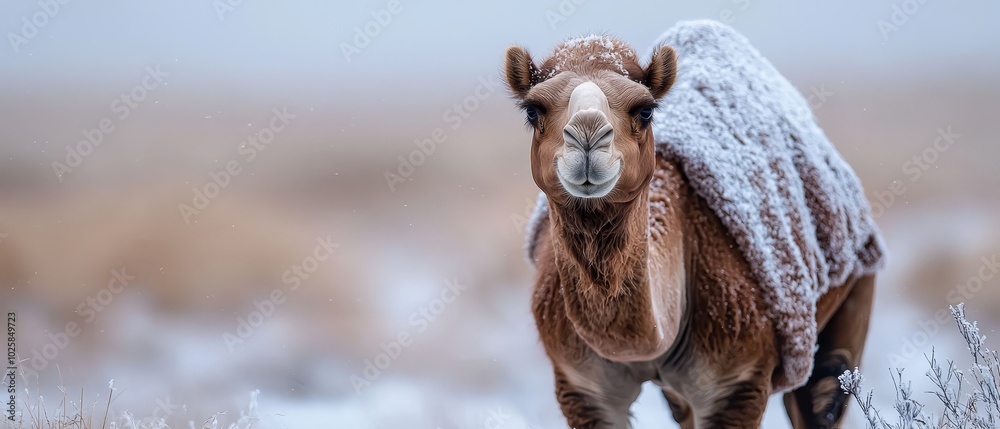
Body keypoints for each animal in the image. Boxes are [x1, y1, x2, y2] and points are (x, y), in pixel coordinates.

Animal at [503, 22, 884, 429]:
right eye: (533, 110)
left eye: (645, 110)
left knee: (825, 388)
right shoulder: (581, 386)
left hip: (856, 289)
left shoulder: (737, 382)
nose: (587, 136)